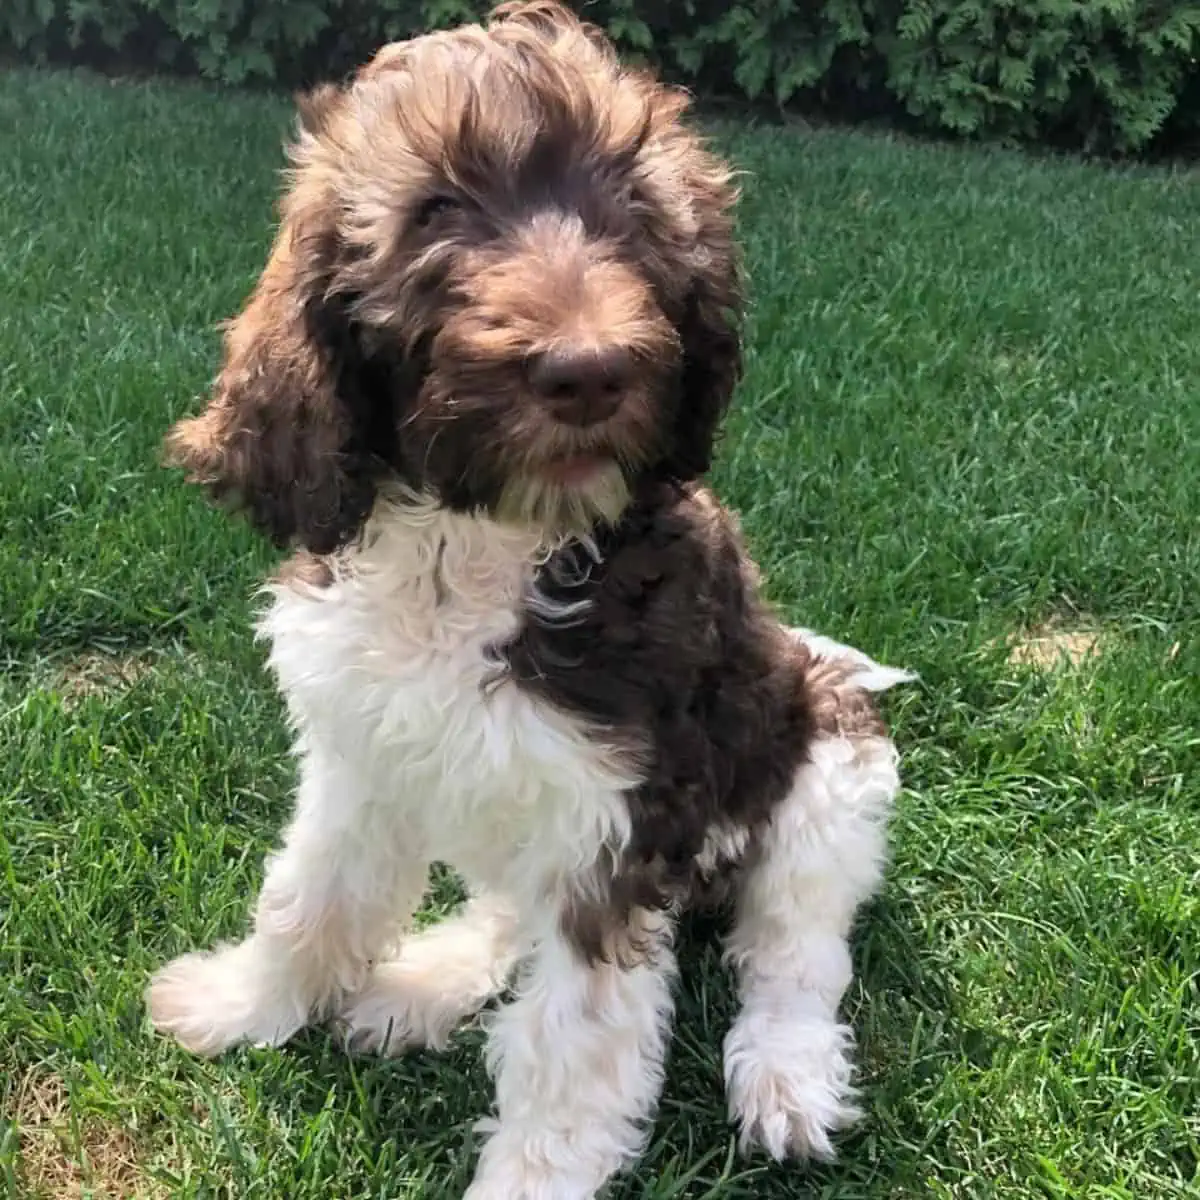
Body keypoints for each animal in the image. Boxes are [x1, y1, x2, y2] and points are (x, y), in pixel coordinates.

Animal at [150, 4, 912, 1195]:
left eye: (635, 215)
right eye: (435, 210)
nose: (588, 372)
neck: (478, 548)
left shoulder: (619, 828)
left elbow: (571, 1043)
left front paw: (530, 1175)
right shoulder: (362, 758)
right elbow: (310, 895)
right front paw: (246, 1003)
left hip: (828, 774)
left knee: (794, 949)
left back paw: (785, 1078)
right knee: (508, 915)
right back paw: (423, 985)